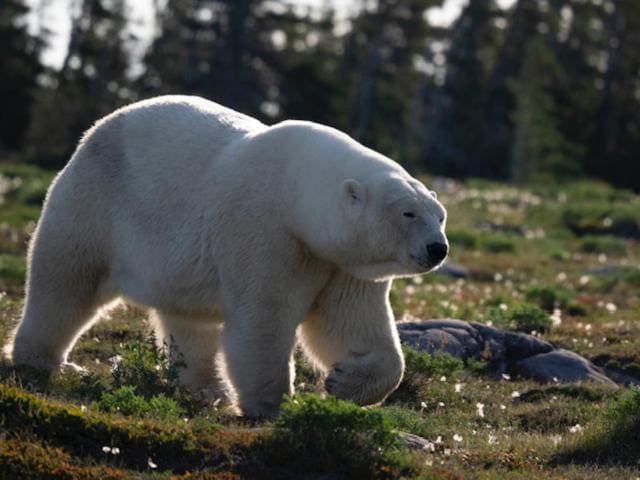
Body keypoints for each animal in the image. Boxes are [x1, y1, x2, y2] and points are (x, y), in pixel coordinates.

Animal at [4, 95, 448, 417]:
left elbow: (351, 324)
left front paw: (342, 380)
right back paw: (45, 361)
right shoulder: (265, 231)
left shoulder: (338, 262)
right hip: (94, 205)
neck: (296, 192)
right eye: (408, 213)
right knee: (66, 282)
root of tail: (95, 131)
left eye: (439, 214)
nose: (438, 248)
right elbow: (263, 320)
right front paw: (272, 406)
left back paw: (207, 389)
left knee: (187, 322)